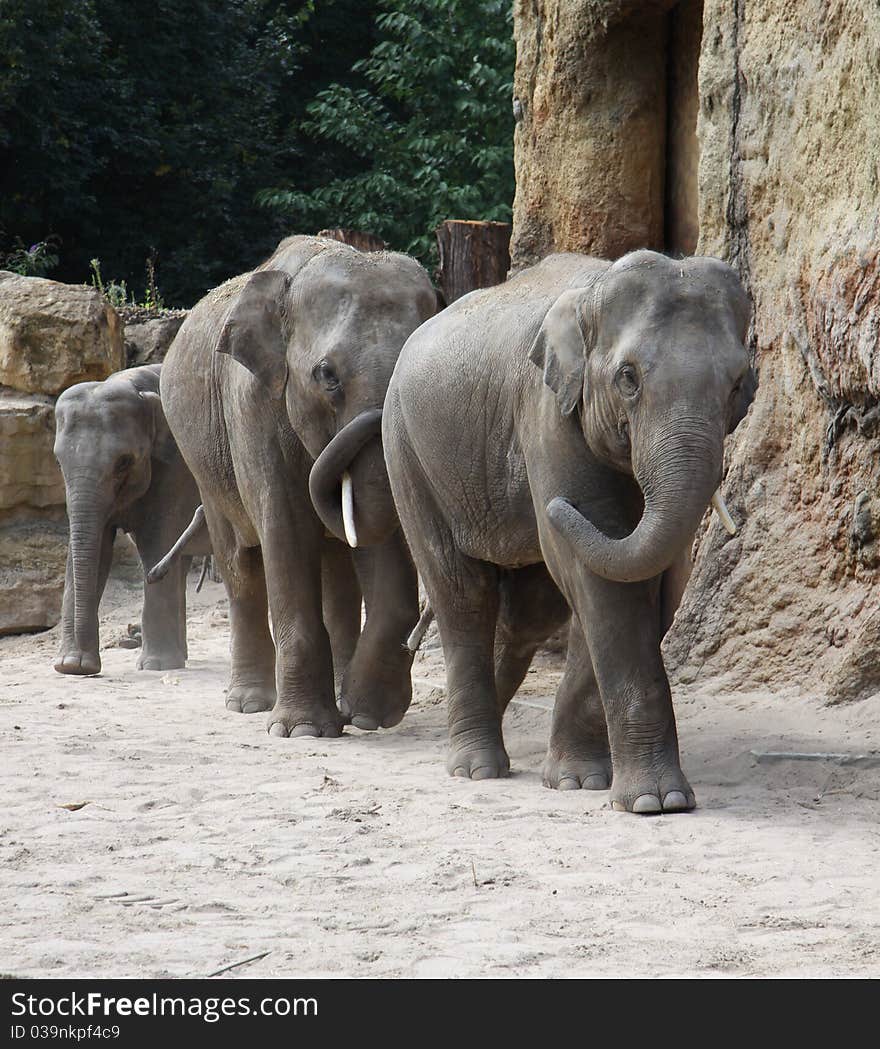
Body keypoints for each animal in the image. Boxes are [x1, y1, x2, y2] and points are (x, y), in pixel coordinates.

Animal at [52, 365, 208, 675]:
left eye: (123, 462)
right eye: (59, 462)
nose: (84, 668)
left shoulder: (177, 467)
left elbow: (158, 538)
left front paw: (156, 666)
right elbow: (95, 547)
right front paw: (71, 665)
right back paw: (181, 656)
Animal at [160, 233, 436, 738]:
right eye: (326, 375)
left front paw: (366, 715)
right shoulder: (252, 405)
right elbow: (285, 529)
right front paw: (303, 730)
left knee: (338, 572)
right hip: (203, 464)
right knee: (240, 564)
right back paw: (250, 703)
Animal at [381, 249, 755, 814]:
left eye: (737, 385)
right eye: (628, 377)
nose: (555, 507)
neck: (593, 293)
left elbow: (630, 580)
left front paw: (579, 782)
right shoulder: (547, 417)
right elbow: (598, 571)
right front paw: (657, 802)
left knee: (530, 611)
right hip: (406, 449)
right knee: (462, 592)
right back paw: (476, 768)